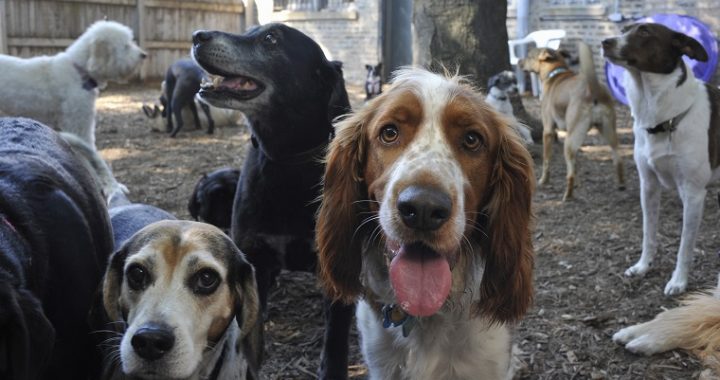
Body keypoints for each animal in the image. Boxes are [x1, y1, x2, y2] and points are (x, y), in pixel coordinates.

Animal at [516, 41, 624, 200]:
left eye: (529, 56)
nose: (519, 61)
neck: (555, 73)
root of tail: (593, 89)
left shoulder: (548, 131)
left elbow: (547, 159)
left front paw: (544, 180)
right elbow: (576, 163)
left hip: (569, 141)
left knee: (570, 174)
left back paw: (567, 195)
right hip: (608, 132)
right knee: (618, 158)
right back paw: (621, 184)